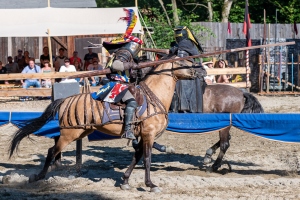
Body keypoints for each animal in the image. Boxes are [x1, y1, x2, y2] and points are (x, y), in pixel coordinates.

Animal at [9, 59, 199, 192]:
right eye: (183, 62)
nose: (199, 70)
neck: (154, 95)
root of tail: (65, 100)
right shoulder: (148, 135)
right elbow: (146, 159)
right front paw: (151, 184)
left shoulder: (141, 136)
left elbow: (136, 156)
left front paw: (125, 181)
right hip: (69, 134)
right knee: (51, 152)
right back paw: (38, 176)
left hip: (80, 132)